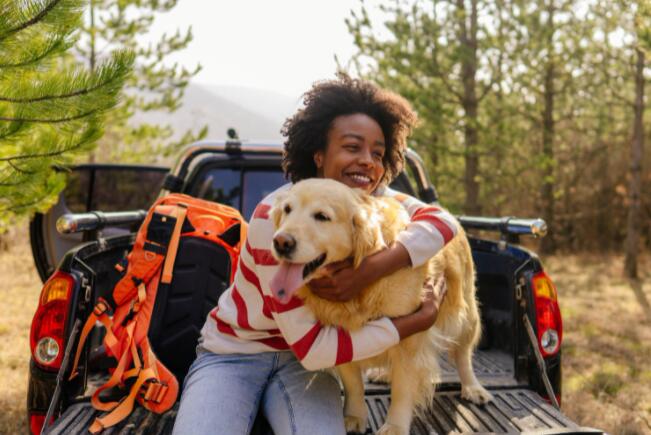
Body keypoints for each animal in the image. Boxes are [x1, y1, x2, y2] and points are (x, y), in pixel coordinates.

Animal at [268, 180, 488, 435]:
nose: (281, 242)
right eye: (287, 210)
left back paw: (473, 387)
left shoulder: (410, 340)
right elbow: (353, 384)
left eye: (322, 216)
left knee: (463, 354)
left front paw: (395, 426)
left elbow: (403, 389)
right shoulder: (341, 337)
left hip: (466, 314)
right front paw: (354, 416)